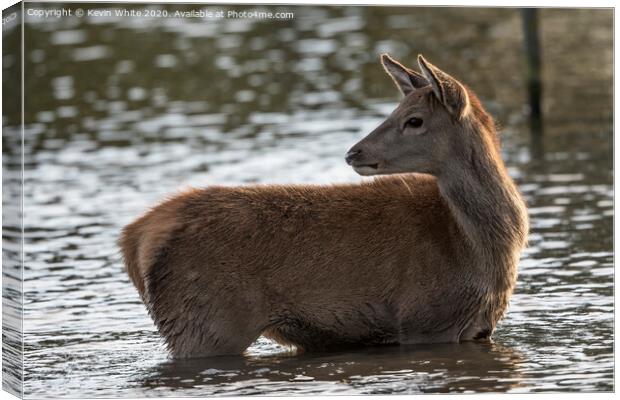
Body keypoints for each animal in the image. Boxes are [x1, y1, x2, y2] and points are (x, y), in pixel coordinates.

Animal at [120, 54, 528, 360]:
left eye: (414, 119)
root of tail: (134, 238)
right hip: (207, 324)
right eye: (396, 111)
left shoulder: (475, 330)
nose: (354, 153)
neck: (476, 247)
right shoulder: (425, 319)